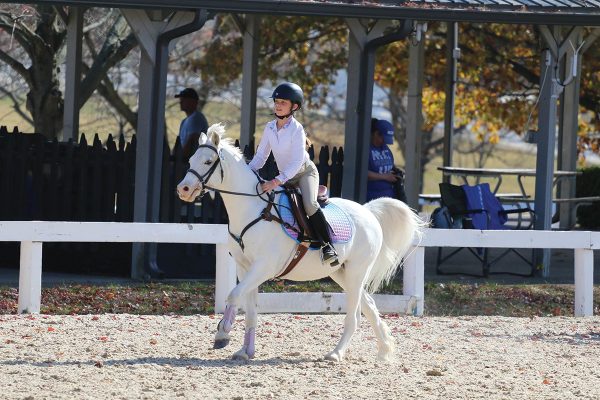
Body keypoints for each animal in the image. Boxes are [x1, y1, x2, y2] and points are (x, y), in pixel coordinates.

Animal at [176, 123, 424, 360]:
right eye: (190, 160)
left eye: (208, 161)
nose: (183, 189)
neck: (253, 209)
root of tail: (368, 211)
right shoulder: (244, 267)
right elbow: (250, 310)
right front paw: (245, 351)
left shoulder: (263, 267)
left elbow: (234, 295)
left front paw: (222, 334)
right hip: (341, 273)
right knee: (370, 305)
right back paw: (384, 350)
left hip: (357, 271)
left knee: (354, 317)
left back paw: (336, 354)